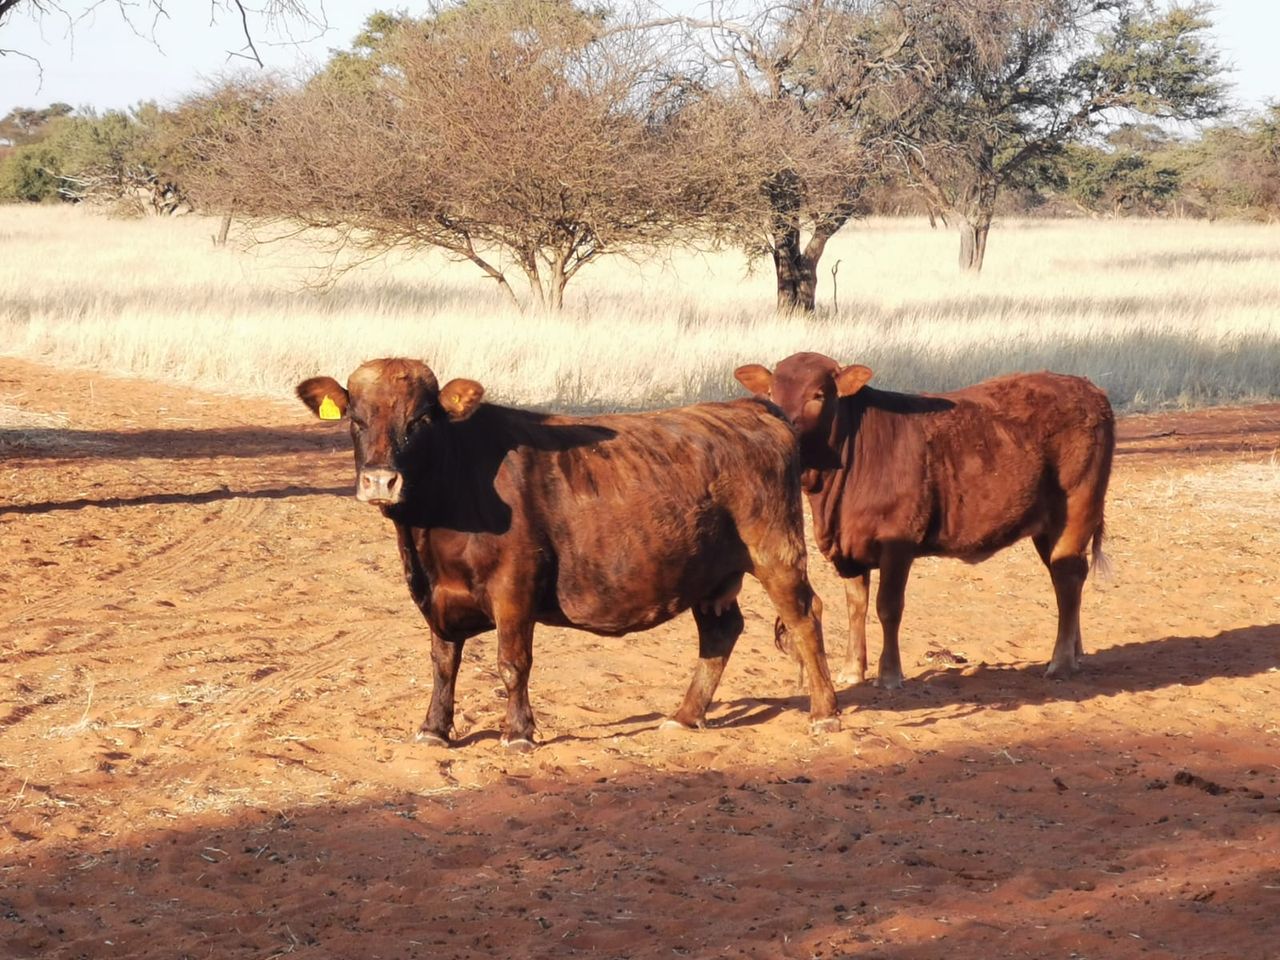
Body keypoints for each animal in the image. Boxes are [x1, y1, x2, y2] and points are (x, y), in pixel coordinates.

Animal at [297, 358, 838, 749]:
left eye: (422, 419)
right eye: (355, 419)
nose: (380, 480)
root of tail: (748, 408)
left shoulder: (514, 589)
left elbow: (512, 662)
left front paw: (518, 732)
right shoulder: (436, 597)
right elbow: (442, 662)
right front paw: (434, 728)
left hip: (776, 553)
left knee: (806, 616)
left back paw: (824, 713)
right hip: (709, 574)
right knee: (720, 634)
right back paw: (686, 716)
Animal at [734, 352, 1114, 688]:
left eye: (818, 394)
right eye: (772, 393)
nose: (786, 428)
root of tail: (1088, 387)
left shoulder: (898, 541)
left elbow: (888, 607)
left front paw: (889, 674)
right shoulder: (849, 549)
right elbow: (856, 606)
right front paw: (852, 670)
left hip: (1077, 508)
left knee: (1067, 576)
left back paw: (1061, 663)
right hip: (1048, 527)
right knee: (1066, 577)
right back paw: (1075, 652)